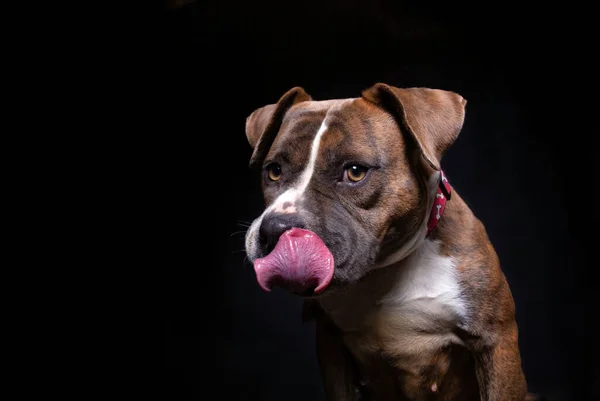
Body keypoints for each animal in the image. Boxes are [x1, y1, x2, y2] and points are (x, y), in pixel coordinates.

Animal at [243, 83, 540, 398]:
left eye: (355, 172)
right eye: (274, 171)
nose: (276, 229)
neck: (383, 272)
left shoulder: (495, 342)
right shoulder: (331, 347)